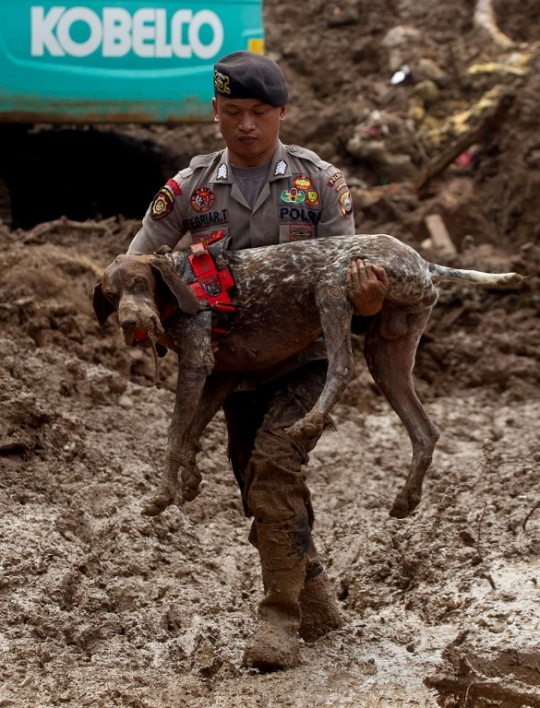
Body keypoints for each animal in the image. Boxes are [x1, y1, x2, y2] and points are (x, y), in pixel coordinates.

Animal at [93, 235, 524, 516]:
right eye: (111, 296)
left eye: (139, 283)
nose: (131, 323)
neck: (183, 280)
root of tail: (424, 262)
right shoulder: (222, 374)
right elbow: (190, 434)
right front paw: (191, 479)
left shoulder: (198, 364)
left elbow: (173, 435)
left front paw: (163, 493)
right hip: (389, 354)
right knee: (425, 431)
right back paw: (407, 498)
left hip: (332, 286)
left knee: (343, 366)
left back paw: (310, 421)